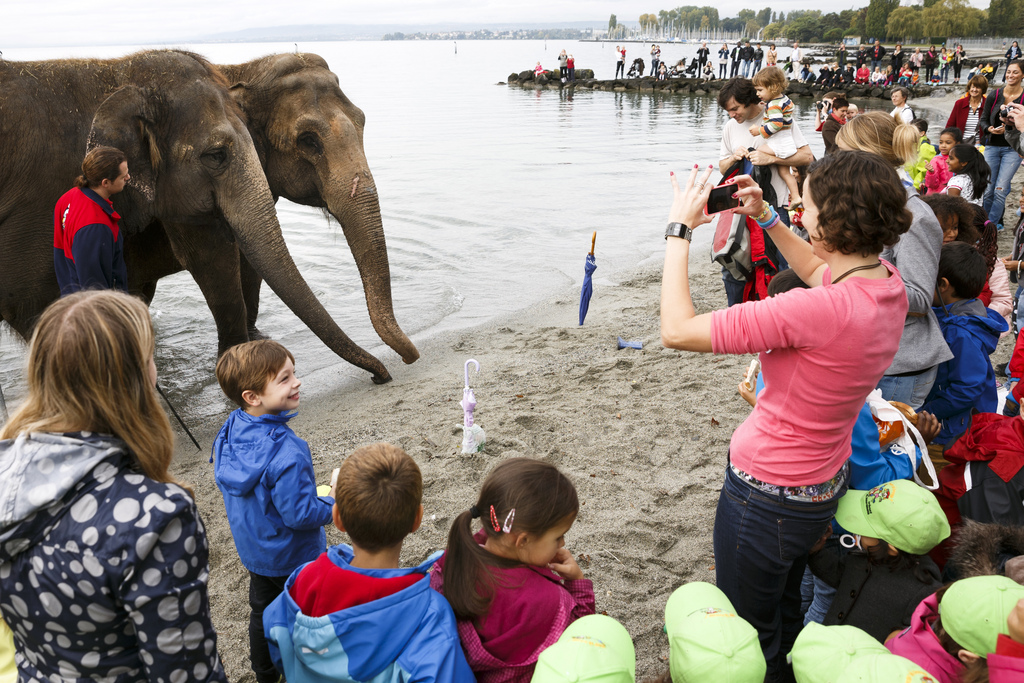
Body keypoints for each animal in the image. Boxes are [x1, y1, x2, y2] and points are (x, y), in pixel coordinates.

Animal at [0, 52, 395, 385]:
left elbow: (247, 263)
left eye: (362, 122)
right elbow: (213, 259)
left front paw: (252, 341)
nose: (382, 375)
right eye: (309, 141)